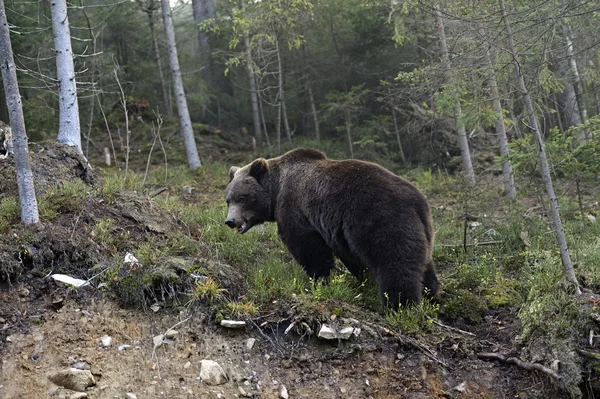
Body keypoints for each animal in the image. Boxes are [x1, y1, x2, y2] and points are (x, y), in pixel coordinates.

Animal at [223, 148, 438, 308]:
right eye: (228, 199)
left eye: (242, 197)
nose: (230, 221)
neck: (277, 189)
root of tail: (417, 200)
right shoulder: (339, 233)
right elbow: (349, 257)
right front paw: (361, 279)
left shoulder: (295, 209)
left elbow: (307, 247)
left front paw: (318, 280)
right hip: (422, 229)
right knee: (424, 264)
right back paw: (431, 296)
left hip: (381, 219)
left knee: (395, 263)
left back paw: (400, 305)